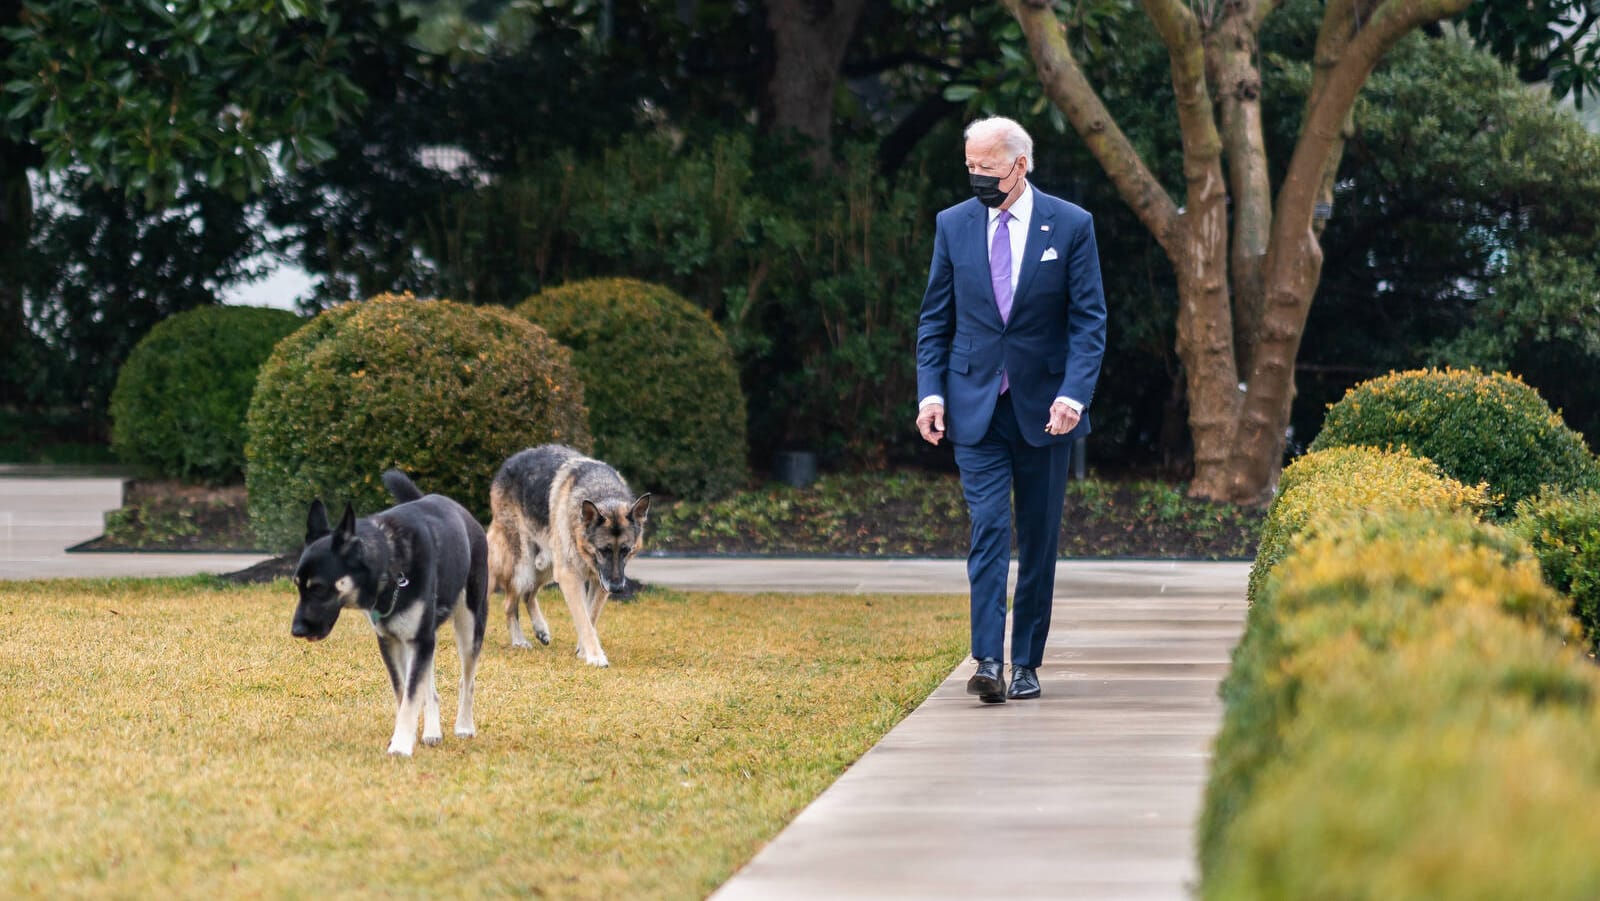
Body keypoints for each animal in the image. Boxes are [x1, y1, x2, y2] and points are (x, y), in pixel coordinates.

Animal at [288, 470, 486, 758]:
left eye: (319, 588)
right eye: (297, 585)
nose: (297, 631)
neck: (389, 565)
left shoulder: (419, 640)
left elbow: (412, 696)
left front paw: (401, 746)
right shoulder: (393, 642)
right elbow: (404, 692)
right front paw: (405, 737)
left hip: (469, 625)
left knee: (467, 681)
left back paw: (464, 726)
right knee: (430, 688)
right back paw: (432, 732)